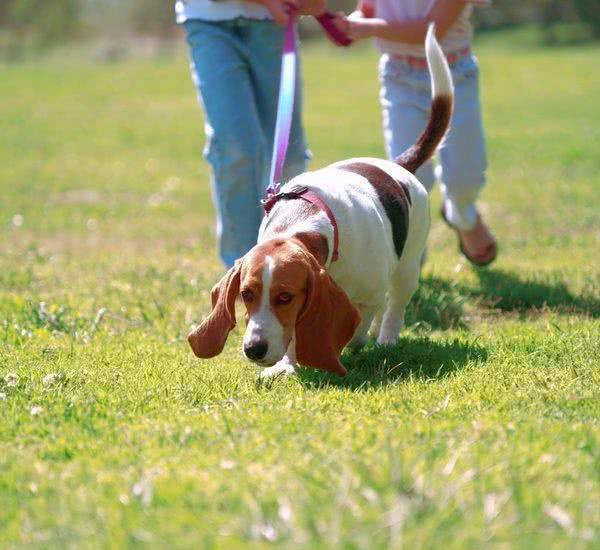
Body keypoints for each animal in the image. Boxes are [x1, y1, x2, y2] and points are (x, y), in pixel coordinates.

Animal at [185, 27, 452, 380]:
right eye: (246, 294)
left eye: (285, 296)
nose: (253, 349)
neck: (303, 223)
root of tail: (397, 165)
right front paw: (286, 365)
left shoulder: (367, 295)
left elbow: (357, 322)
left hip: (407, 268)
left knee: (394, 306)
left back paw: (386, 339)